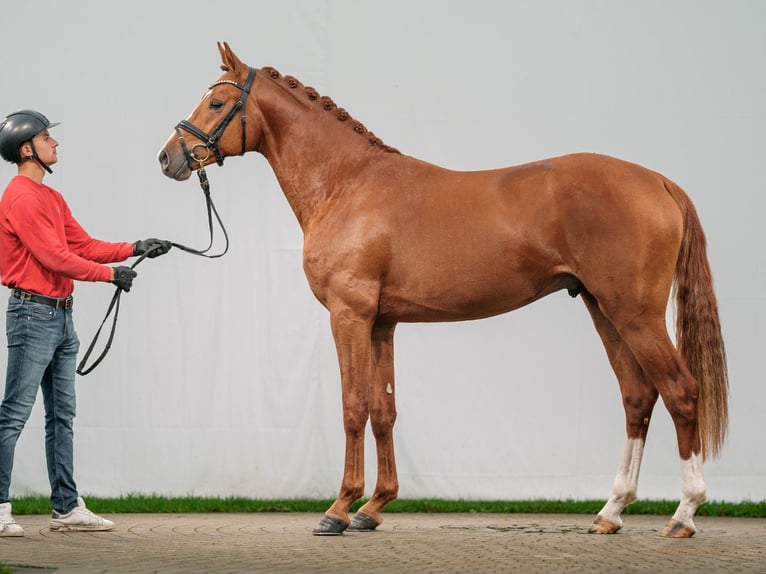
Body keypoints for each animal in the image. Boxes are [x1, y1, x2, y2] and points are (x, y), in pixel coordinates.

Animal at [159, 41, 728, 540]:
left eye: (216, 102)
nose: (168, 158)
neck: (348, 184)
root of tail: (658, 182)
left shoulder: (349, 315)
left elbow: (352, 406)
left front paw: (338, 510)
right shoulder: (382, 323)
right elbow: (384, 410)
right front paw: (374, 508)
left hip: (636, 314)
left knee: (681, 391)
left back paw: (684, 514)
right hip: (603, 309)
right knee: (637, 397)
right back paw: (610, 512)